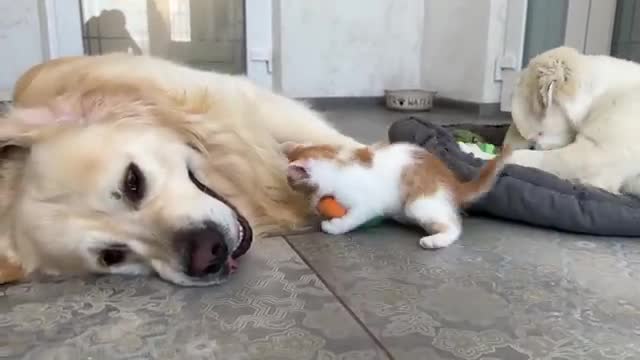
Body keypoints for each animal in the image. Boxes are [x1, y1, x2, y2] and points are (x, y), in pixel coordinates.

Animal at [282, 142, 512, 249]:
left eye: (294, 186)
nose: (310, 205)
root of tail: (454, 182)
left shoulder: (367, 204)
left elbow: (352, 217)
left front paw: (333, 226)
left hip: (419, 203)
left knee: (454, 225)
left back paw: (435, 240)